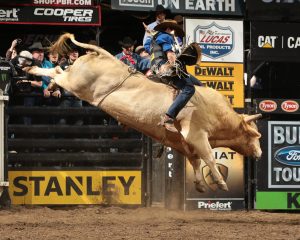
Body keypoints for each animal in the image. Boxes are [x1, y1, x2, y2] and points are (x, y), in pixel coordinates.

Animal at [24, 32, 262, 192]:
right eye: (255, 135)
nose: (260, 153)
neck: (217, 113)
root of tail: (102, 54)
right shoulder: (196, 135)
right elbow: (209, 158)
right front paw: (220, 182)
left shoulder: (184, 143)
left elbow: (195, 161)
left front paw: (200, 185)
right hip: (76, 84)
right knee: (56, 71)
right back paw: (35, 70)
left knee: (57, 72)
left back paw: (42, 78)